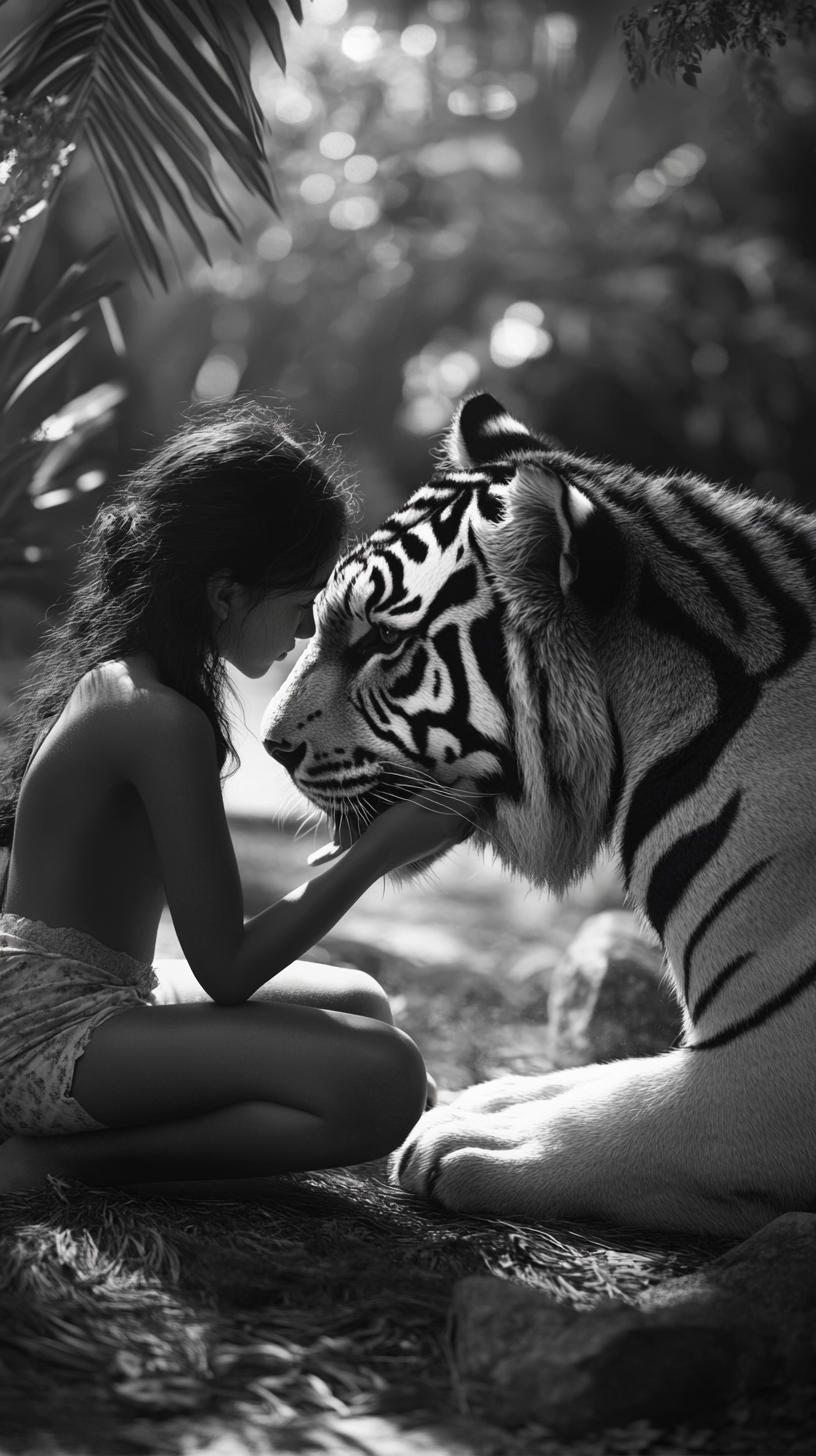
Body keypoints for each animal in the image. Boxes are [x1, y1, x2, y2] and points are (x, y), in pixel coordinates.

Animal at [262, 390, 816, 1240]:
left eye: (381, 642)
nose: (270, 747)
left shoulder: (766, 1067)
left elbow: (635, 1108)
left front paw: (472, 1142)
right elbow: (611, 1071)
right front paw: (489, 1098)